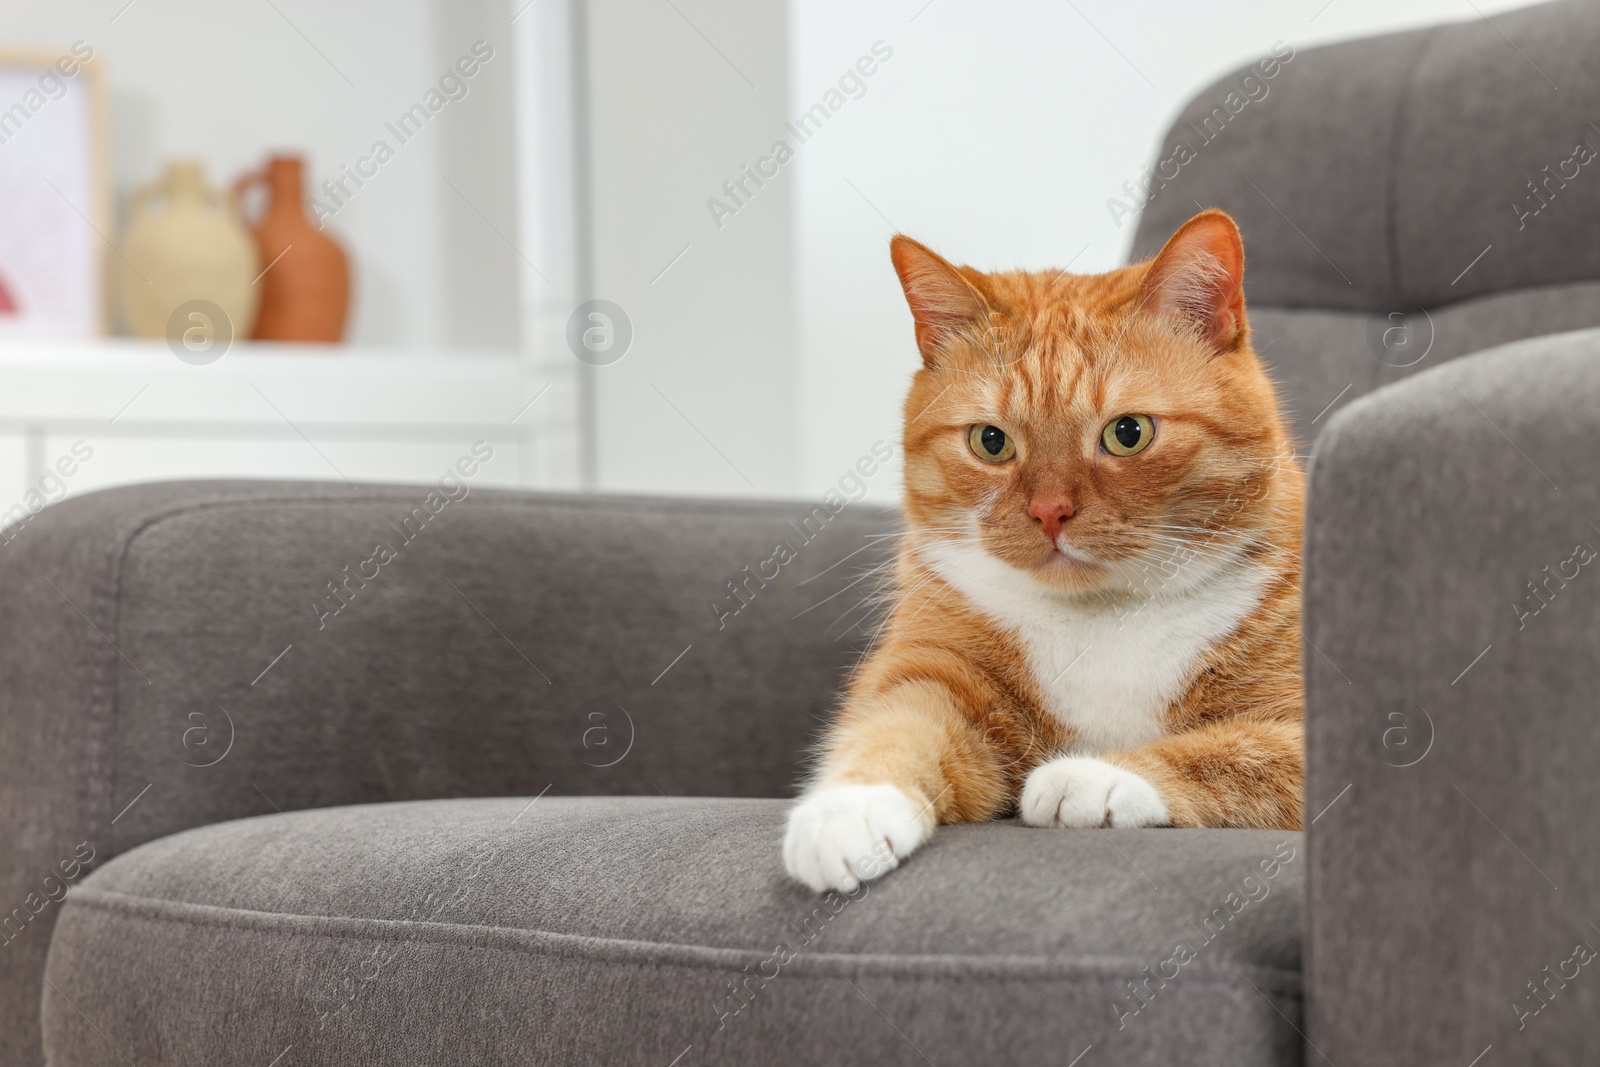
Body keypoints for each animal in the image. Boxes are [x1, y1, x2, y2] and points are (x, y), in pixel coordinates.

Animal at [784, 207, 1299, 895]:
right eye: (991, 441)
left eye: (1128, 432)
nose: (1050, 512)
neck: (1105, 618)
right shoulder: (939, 671)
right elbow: (893, 727)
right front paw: (848, 811)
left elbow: (1234, 750)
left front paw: (1093, 775)